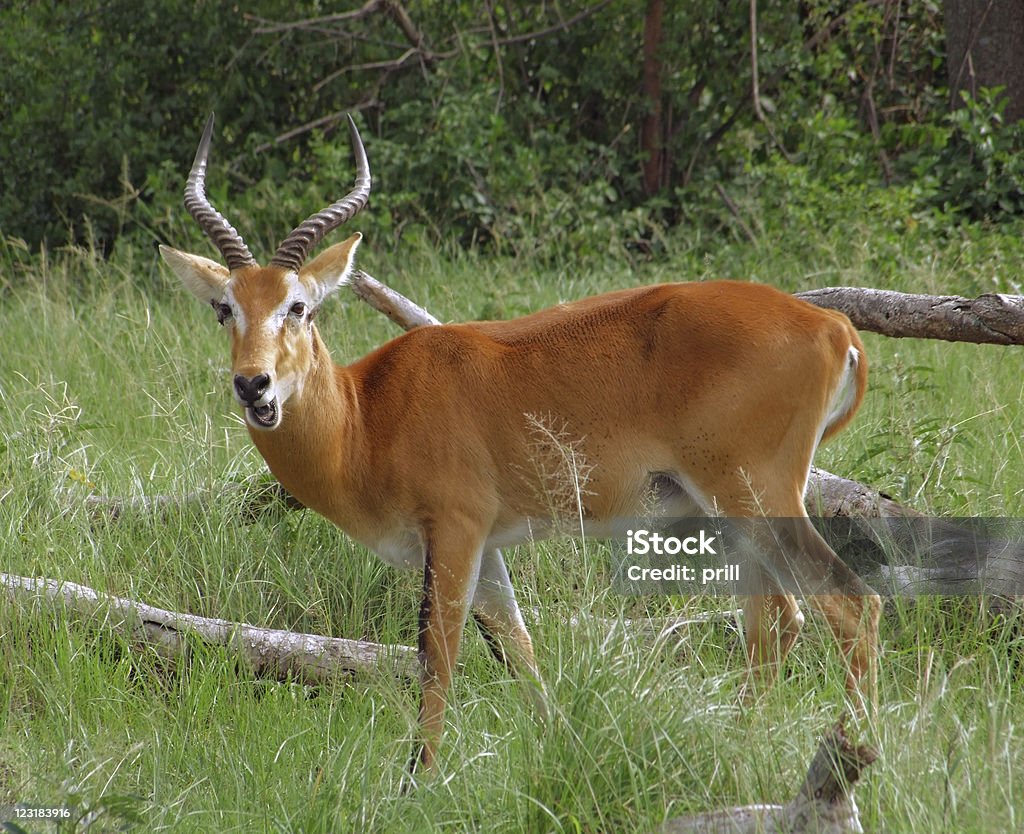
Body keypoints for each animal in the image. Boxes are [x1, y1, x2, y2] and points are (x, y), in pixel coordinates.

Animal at [157, 111, 880, 778]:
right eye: (225, 307)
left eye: (299, 306)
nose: (253, 384)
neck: (367, 416)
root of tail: (831, 324)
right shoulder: (488, 548)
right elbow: (520, 653)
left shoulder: (454, 530)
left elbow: (438, 656)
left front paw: (419, 784)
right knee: (777, 619)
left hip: (753, 493)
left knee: (844, 603)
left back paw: (853, 753)